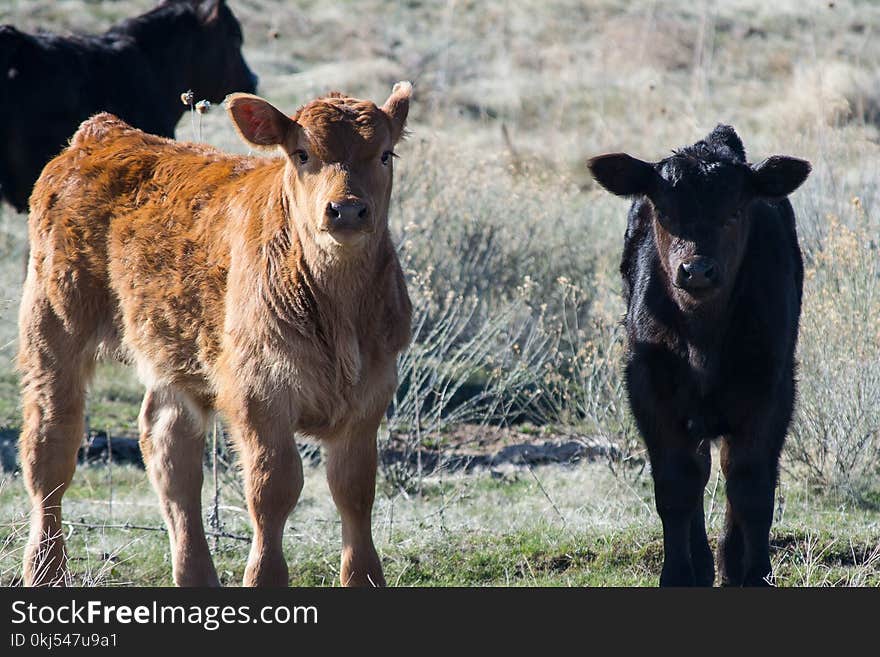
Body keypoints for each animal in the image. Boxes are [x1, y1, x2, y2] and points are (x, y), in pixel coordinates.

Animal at [18, 80, 414, 584]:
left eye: (384, 154)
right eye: (302, 154)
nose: (346, 211)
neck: (338, 310)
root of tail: (103, 133)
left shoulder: (371, 392)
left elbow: (355, 490)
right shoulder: (257, 392)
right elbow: (273, 488)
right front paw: (264, 578)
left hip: (176, 349)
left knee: (169, 448)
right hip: (52, 323)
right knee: (51, 450)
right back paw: (44, 569)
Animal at [592, 127, 812, 584]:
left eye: (735, 211)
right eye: (663, 212)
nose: (696, 270)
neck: (702, 342)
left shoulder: (770, 391)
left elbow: (751, 486)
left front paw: (755, 574)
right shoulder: (649, 391)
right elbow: (676, 485)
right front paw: (678, 574)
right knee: (698, 469)